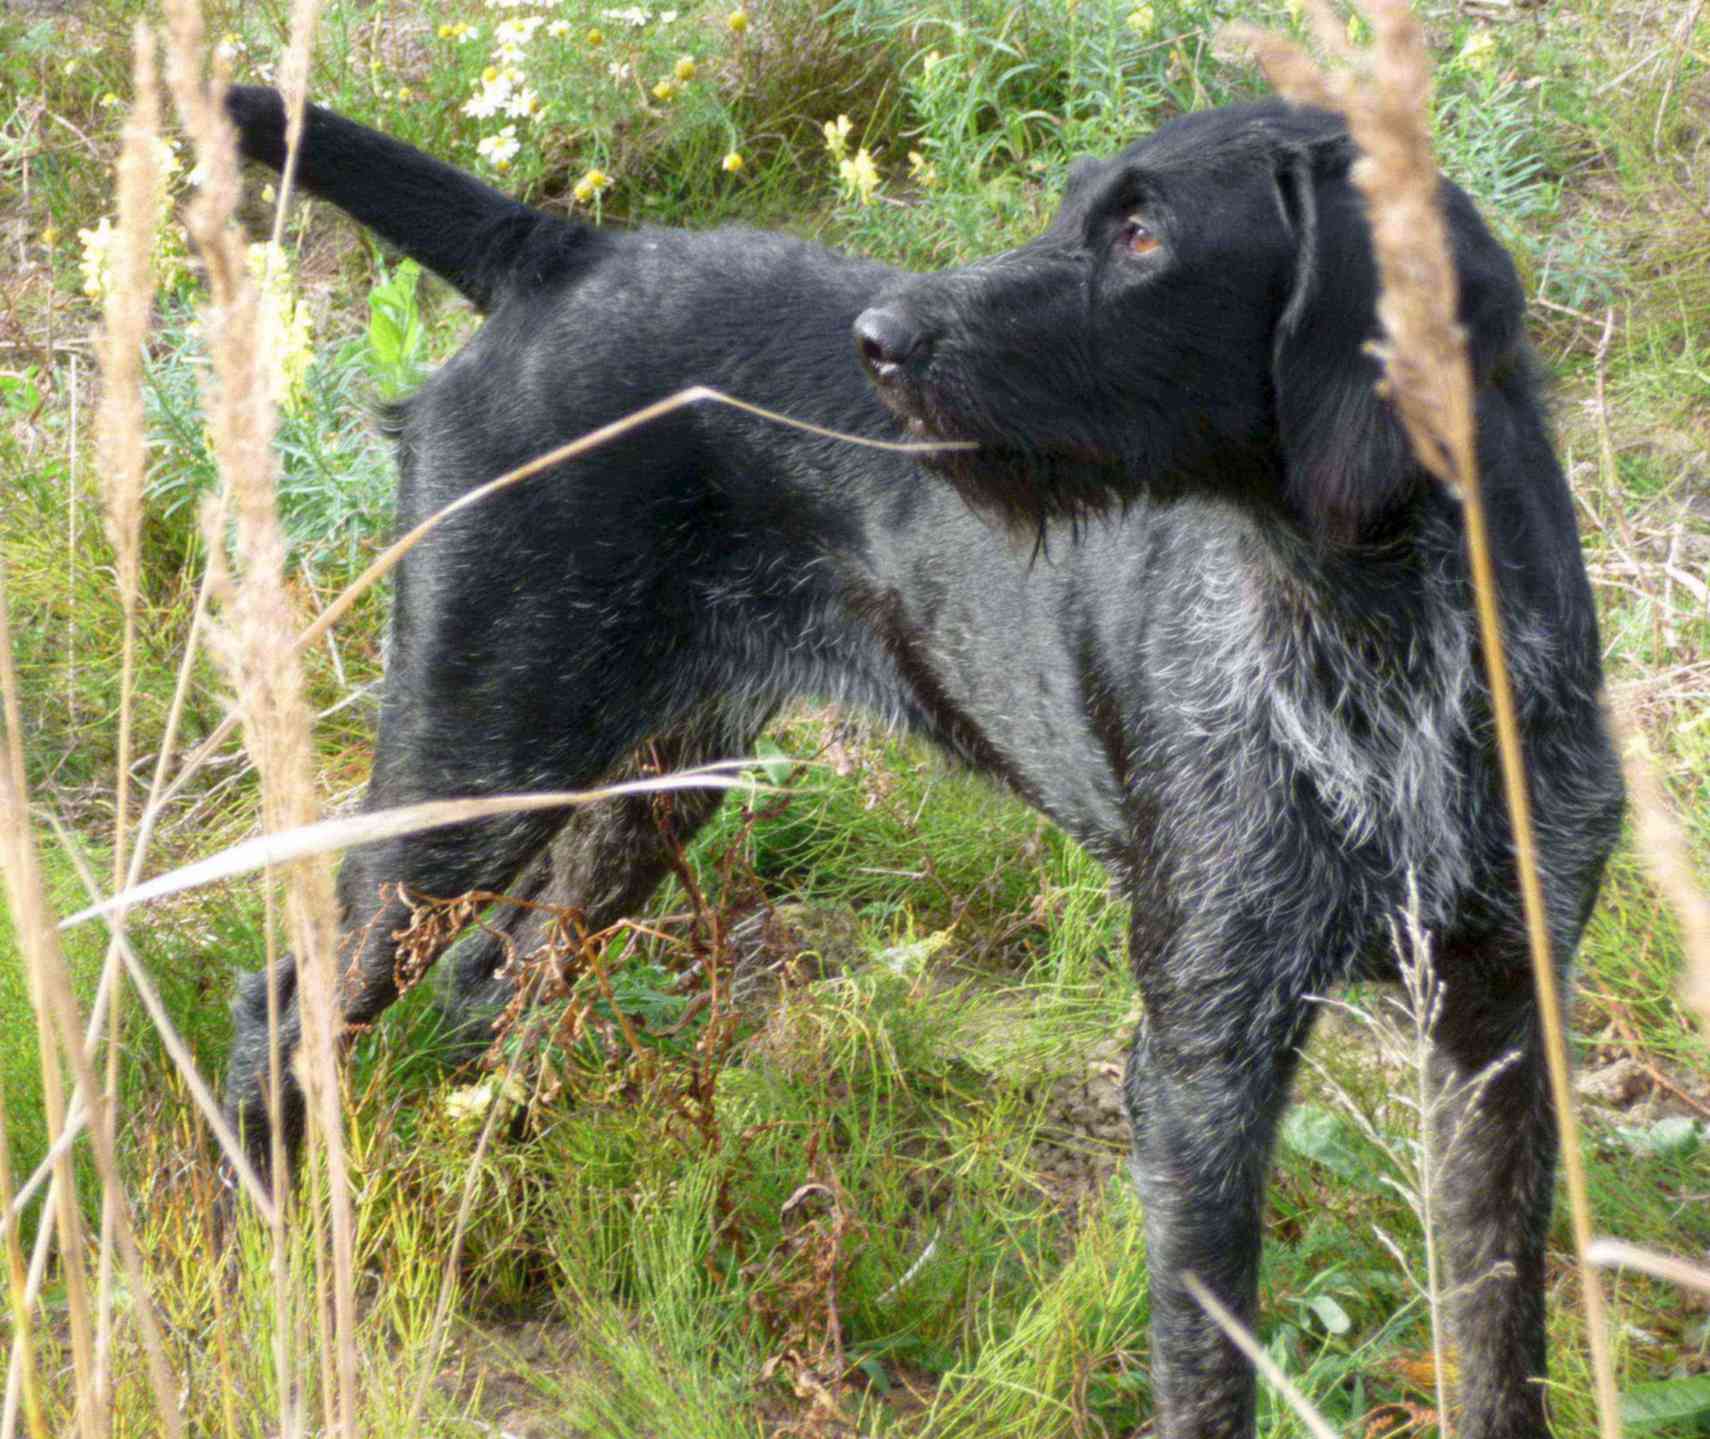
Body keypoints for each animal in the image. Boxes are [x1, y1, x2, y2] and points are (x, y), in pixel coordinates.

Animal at [224, 84, 1614, 1428]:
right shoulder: (1205, 1064)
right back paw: (268, 1253)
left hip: (648, 785)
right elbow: (1206, 1376)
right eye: (1076, 205)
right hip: (474, 770)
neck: (1378, 636)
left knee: (497, 977)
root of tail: (557, 249)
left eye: (1144, 233)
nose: (876, 340)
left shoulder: (1500, 1033)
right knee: (287, 1004)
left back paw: (492, 1177)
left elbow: (1500, 1352)